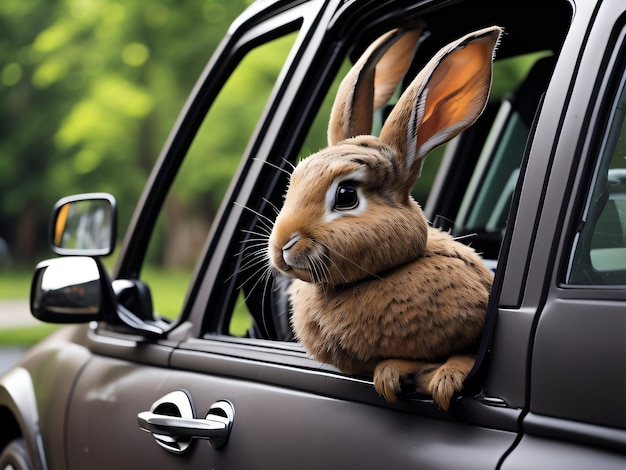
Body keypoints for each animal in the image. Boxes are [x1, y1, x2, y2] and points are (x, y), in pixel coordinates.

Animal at [266, 23, 500, 412]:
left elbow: (466, 357)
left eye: (346, 195)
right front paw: (391, 373)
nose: (283, 245)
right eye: (294, 181)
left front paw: (442, 380)